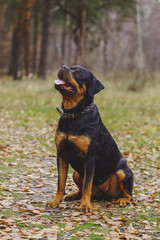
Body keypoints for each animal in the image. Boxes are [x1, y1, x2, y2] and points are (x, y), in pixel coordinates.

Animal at [47, 65, 133, 212]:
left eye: (78, 74)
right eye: (70, 67)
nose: (63, 66)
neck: (74, 114)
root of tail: (104, 193)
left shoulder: (90, 157)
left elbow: (87, 184)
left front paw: (85, 205)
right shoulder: (61, 154)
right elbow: (61, 182)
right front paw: (55, 202)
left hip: (123, 172)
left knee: (129, 194)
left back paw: (122, 200)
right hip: (76, 173)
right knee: (81, 188)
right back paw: (74, 195)